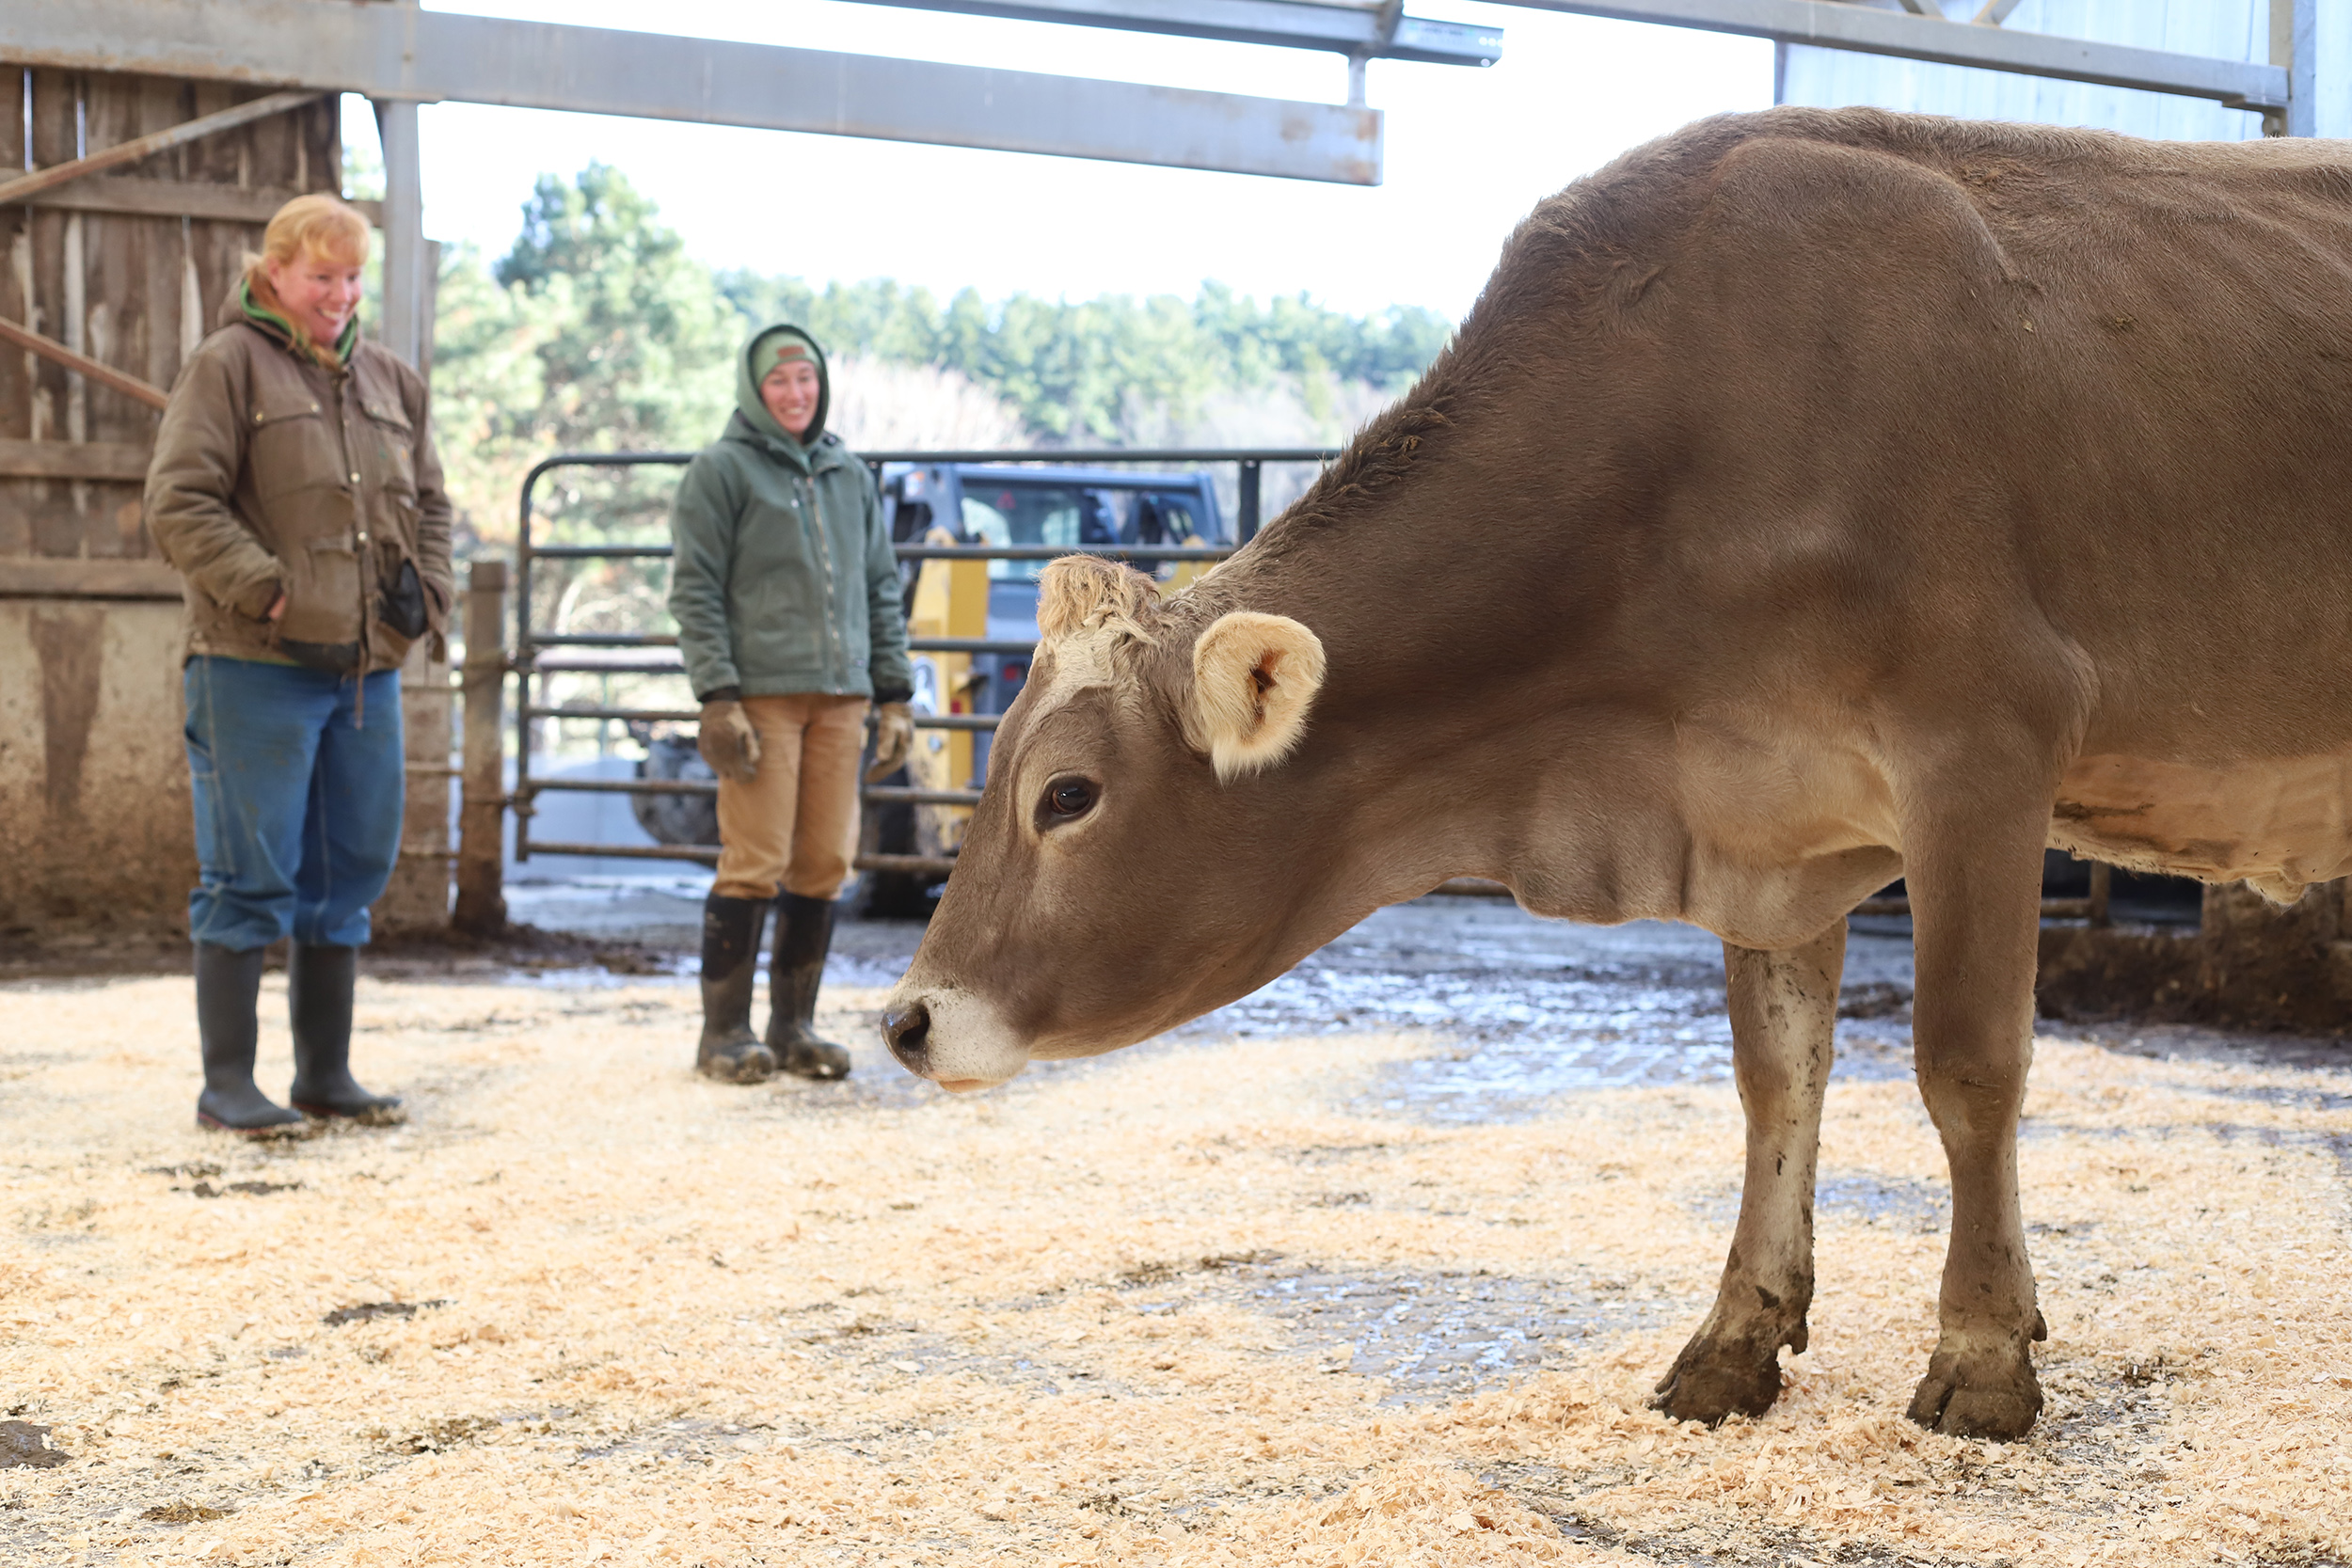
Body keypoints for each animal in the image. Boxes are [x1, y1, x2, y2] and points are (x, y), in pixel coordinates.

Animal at [875, 103, 2352, 1438]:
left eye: (1067, 794)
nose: (906, 1020)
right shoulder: (1773, 814)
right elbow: (1778, 1077)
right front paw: (1736, 1336)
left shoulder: (1983, 744)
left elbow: (1968, 1063)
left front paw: (1983, 1355)